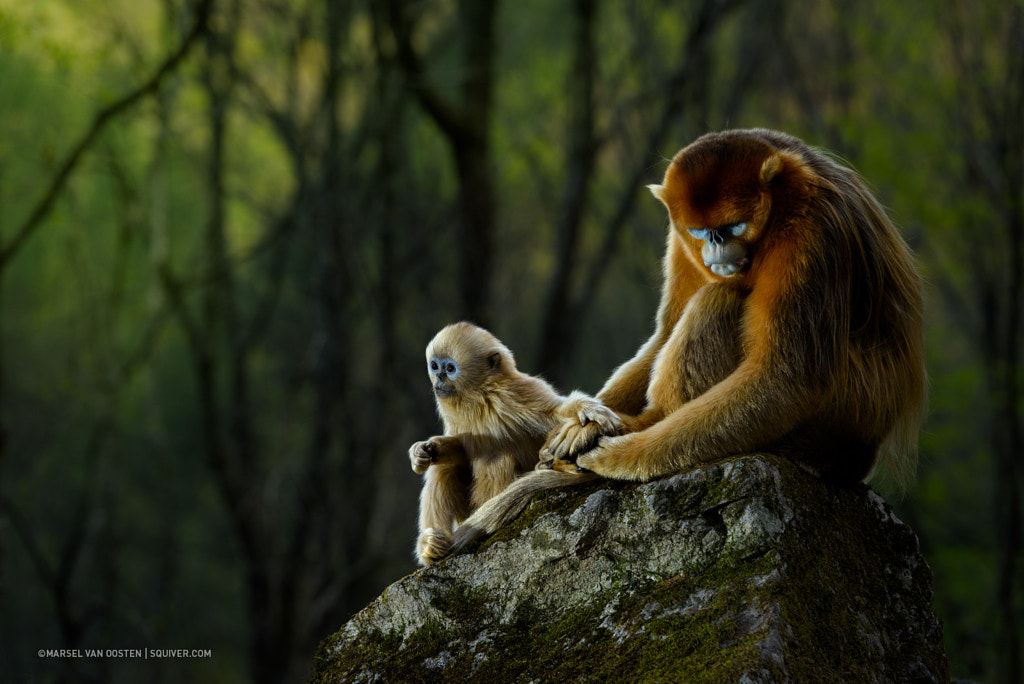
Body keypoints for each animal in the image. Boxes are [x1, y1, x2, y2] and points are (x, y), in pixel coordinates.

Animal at [405, 321, 614, 565]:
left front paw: (587, 410)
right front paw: (421, 450)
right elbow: (459, 452)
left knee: (498, 459)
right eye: (435, 366)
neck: (478, 396)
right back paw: (430, 547)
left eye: (449, 369)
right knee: (444, 467)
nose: (439, 379)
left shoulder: (517, 392)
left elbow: (557, 412)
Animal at [444, 129, 925, 561]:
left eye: (733, 227)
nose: (716, 247)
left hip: (829, 428)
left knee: (720, 298)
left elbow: (788, 378)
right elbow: (666, 330)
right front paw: (583, 419)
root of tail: (860, 457)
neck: (786, 193)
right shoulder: (679, 237)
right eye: (700, 232)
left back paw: (641, 426)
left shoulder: (810, 229)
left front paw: (621, 456)